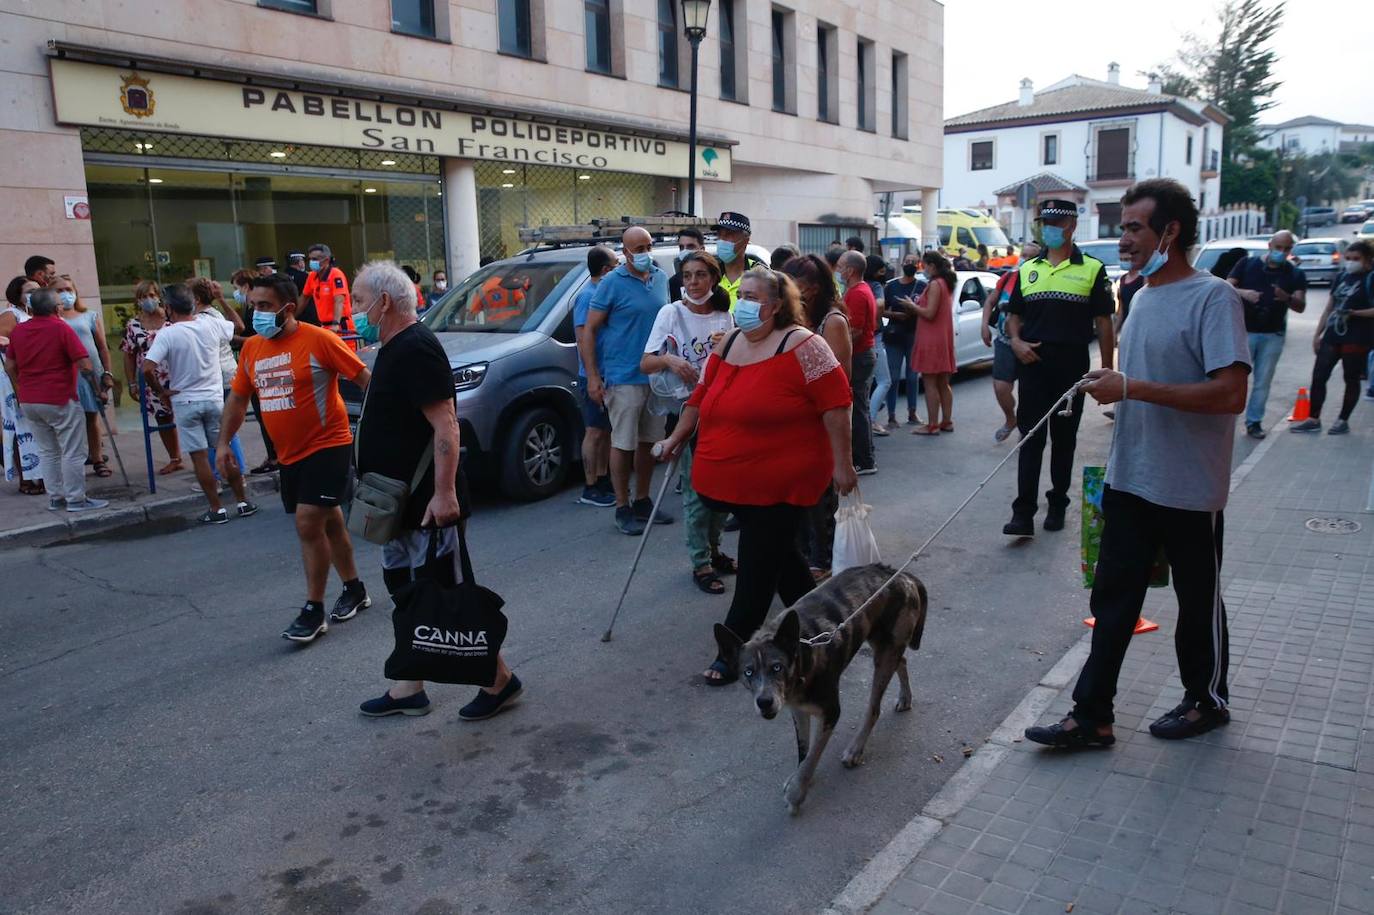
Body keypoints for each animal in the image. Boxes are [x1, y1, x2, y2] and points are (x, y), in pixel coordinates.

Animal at [714, 563, 928, 813]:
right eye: (748, 672)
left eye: (777, 667)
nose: (764, 702)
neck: (802, 658)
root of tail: (899, 574)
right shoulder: (798, 710)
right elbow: (804, 752)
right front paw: (799, 779)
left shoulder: (831, 713)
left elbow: (813, 756)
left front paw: (797, 791)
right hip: (882, 644)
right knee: (901, 661)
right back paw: (905, 697)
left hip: (884, 655)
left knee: (874, 708)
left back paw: (856, 748)